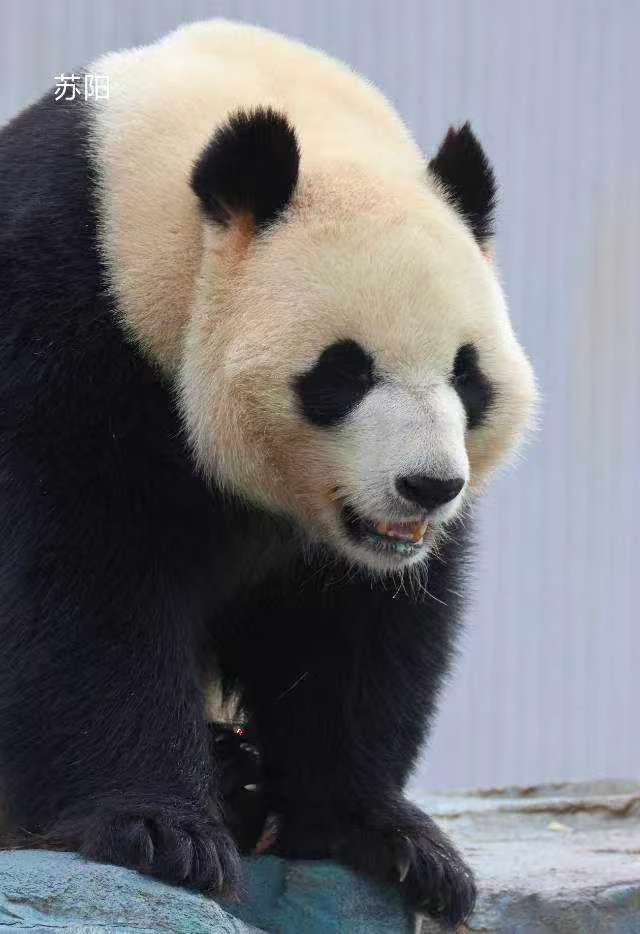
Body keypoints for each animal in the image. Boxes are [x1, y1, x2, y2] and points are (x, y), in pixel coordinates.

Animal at [0, 19, 536, 928]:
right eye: (344, 371)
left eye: (467, 374)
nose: (428, 487)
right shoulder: (60, 318)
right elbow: (80, 577)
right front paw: (161, 830)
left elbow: (363, 626)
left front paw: (386, 838)